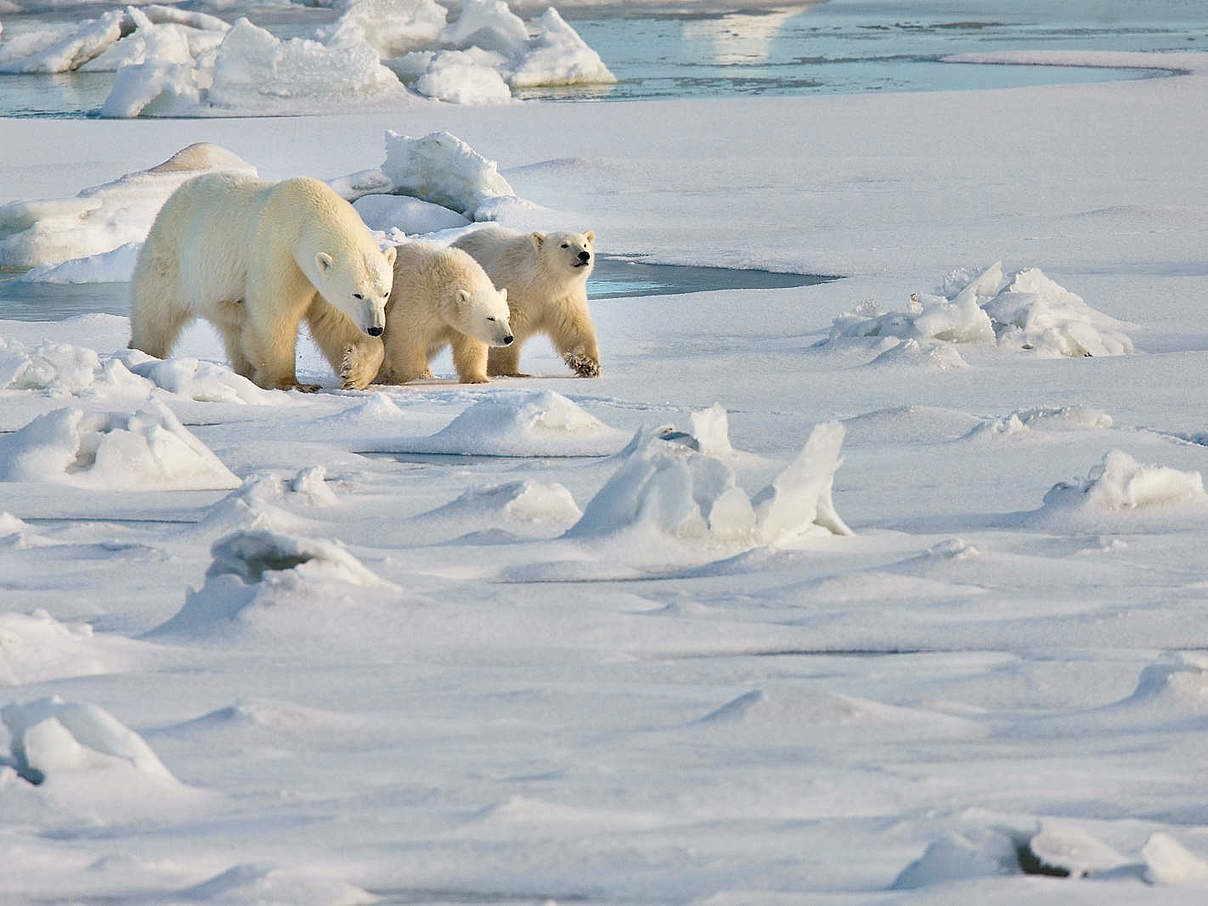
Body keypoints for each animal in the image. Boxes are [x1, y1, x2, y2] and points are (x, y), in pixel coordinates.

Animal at [131, 175, 396, 391]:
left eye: (384, 293)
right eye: (357, 294)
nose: (376, 328)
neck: (308, 211)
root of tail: (174, 196)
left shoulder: (317, 278)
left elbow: (336, 322)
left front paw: (355, 372)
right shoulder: (279, 252)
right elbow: (275, 314)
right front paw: (290, 383)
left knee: (235, 329)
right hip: (171, 259)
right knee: (156, 316)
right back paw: (143, 354)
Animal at [374, 242, 512, 384]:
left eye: (507, 317)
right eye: (490, 318)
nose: (508, 338)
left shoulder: (458, 324)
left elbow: (470, 345)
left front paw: (477, 378)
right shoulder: (418, 299)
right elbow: (406, 332)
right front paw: (419, 375)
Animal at [451, 230, 601, 384]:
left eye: (585, 244)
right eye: (564, 245)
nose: (584, 255)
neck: (540, 283)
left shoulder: (564, 299)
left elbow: (574, 327)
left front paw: (587, 364)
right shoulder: (515, 294)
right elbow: (508, 326)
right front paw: (507, 371)